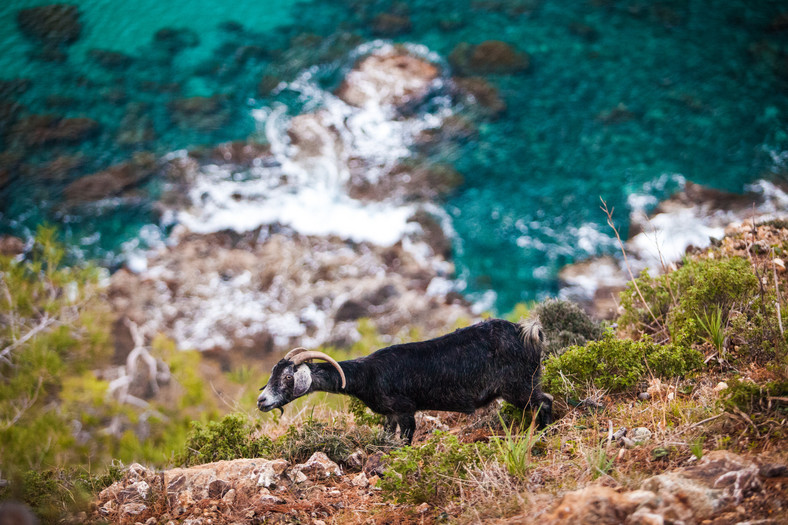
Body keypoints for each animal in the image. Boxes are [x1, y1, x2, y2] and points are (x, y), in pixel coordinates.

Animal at [258, 316, 556, 442]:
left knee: (545, 401)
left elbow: (407, 438)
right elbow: (388, 436)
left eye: (288, 377)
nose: (261, 401)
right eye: (271, 375)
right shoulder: (389, 414)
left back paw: (544, 434)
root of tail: (529, 333)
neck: (368, 375)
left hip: (519, 386)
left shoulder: (405, 409)